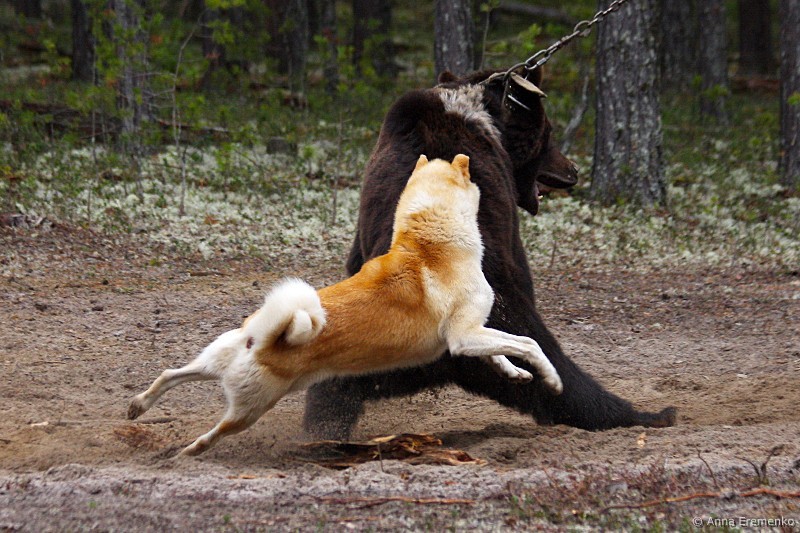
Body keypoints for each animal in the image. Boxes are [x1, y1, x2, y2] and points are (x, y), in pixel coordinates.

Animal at [128, 155, 563, 456]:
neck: (429, 243)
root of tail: (264, 339)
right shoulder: (463, 335)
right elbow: (527, 344)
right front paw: (551, 378)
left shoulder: (471, 335)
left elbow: (501, 351)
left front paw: (516, 374)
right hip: (250, 409)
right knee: (213, 432)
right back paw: (189, 451)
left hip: (216, 361)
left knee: (171, 373)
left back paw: (139, 405)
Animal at [303, 69, 677, 439]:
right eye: (549, 133)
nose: (572, 171)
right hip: (495, 309)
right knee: (562, 372)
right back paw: (646, 413)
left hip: (363, 343)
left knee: (331, 388)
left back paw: (320, 433)